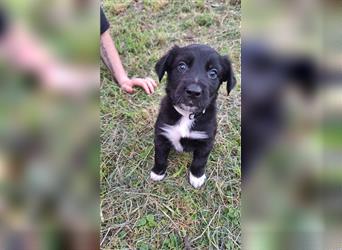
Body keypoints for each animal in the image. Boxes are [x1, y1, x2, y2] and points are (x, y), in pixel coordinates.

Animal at [150, 44, 235, 188]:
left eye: (213, 73)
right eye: (182, 66)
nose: (193, 92)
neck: (187, 114)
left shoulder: (205, 141)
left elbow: (200, 161)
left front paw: (197, 177)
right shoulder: (162, 134)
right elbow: (160, 156)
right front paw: (158, 172)